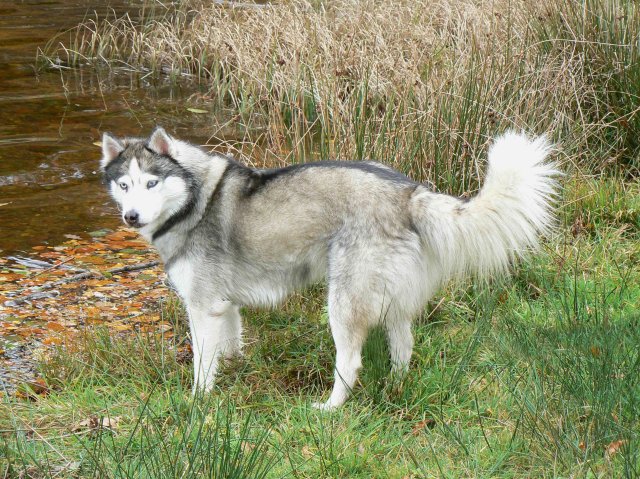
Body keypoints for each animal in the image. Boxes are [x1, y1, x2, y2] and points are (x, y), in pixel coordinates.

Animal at [100, 127, 559, 409]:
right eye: (124, 185)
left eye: (152, 183)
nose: (131, 217)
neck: (193, 200)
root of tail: (408, 192)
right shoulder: (223, 309)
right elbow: (229, 351)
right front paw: (234, 376)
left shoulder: (202, 308)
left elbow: (201, 366)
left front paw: (198, 402)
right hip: (391, 301)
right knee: (404, 347)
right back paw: (396, 387)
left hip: (342, 303)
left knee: (350, 363)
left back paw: (330, 407)